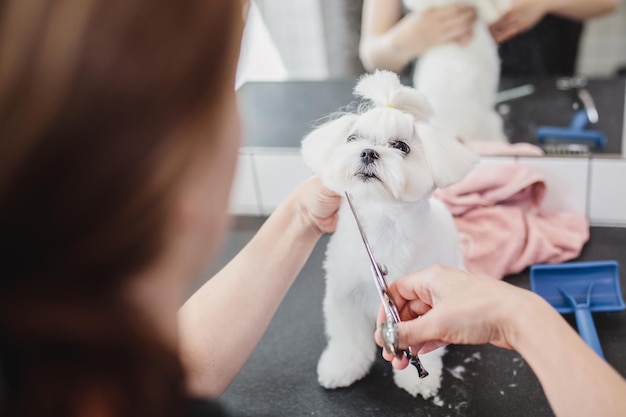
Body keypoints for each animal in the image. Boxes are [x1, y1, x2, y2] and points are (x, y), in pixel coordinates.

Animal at [300, 70, 476, 398]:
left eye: (401, 146)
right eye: (352, 138)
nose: (368, 152)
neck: (382, 222)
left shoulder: (423, 302)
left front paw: (419, 380)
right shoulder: (345, 295)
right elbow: (348, 337)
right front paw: (342, 367)